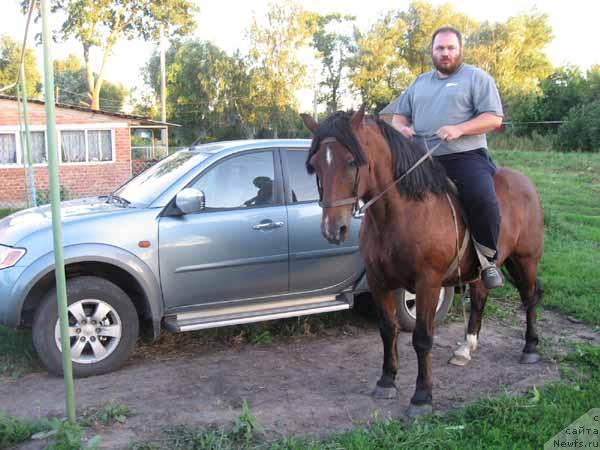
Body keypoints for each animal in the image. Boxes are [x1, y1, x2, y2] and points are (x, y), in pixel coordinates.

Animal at [302, 107, 540, 416]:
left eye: (352, 161)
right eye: (315, 165)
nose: (333, 230)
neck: (401, 214)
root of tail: (525, 183)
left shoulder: (428, 283)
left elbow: (422, 338)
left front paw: (422, 396)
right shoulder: (379, 282)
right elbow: (387, 330)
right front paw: (387, 381)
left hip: (526, 260)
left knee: (530, 298)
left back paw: (530, 348)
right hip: (483, 269)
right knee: (479, 299)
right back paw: (466, 348)